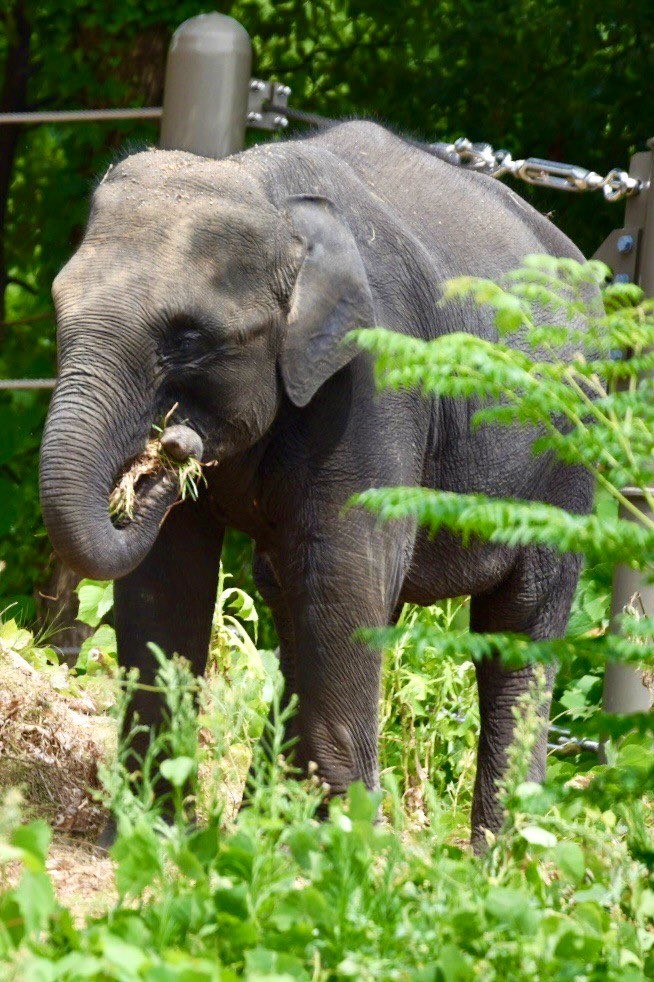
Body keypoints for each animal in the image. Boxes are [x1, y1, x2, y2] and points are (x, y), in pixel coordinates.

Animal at [38, 121, 596, 844]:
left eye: (187, 337)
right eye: (57, 306)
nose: (173, 444)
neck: (272, 198)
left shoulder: (373, 380)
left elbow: (342, 573)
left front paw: (346, 855)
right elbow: (168, 577)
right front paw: (145, 838)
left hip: (570, 454)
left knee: (518, 624)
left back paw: (500, 858)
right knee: (298, 598)